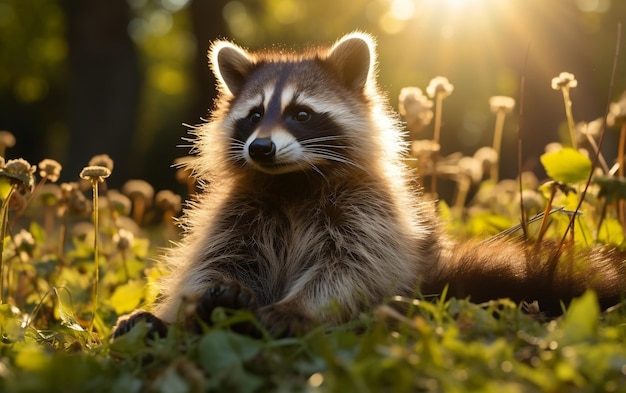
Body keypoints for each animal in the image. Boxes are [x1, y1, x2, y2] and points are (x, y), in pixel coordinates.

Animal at [113, 33, 624, 336]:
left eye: (302, 114)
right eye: (254, 116)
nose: (260, 149)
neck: (293, 183)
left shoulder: (369, 211)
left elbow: (353, 266)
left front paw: (301, 308)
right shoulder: (241, 211)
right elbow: (216, 259)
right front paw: (203, 301)